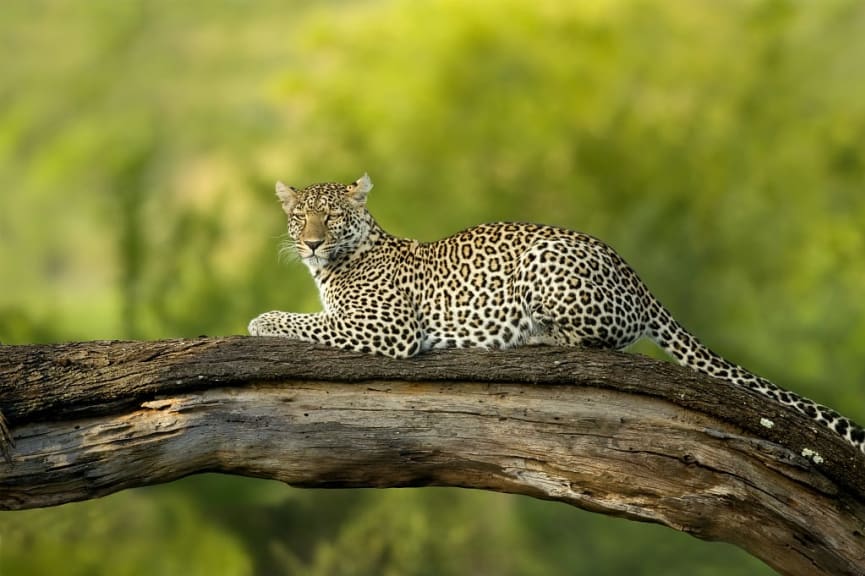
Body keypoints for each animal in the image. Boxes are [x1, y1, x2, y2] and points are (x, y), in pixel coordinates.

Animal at [246, 171, 864, 454]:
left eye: (332, 218)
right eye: (299, 216)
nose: (310, 243)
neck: (333, 267)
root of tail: (636, 275)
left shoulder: (384, 329)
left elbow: (300, 320)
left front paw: (258, 320)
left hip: (545, 265)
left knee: (599, 340)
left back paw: (534, 337)